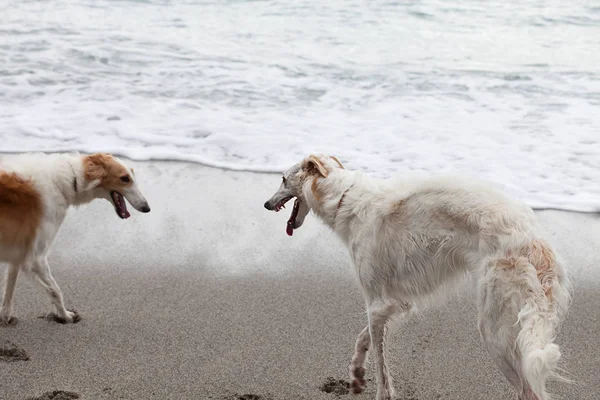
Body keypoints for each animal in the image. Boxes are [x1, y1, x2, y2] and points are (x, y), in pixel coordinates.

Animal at [0, 152, 150, 324]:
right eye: (125, 178)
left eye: (132, 175)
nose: (147, 208)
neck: (68, 179)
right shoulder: (36, 258)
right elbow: (55, 290)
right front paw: (65, 316)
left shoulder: (19, 253)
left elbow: (9, 289)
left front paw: (5, 317)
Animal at [264, 155, 568, 400]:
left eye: (282, 179)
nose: (266, 204)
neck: (343, 198)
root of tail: (534, 241)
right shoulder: (397, 303)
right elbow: (364, 339)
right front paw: (356, 373)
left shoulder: (378, 304)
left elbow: (382, 371)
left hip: (495, 331)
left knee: (529, 391)